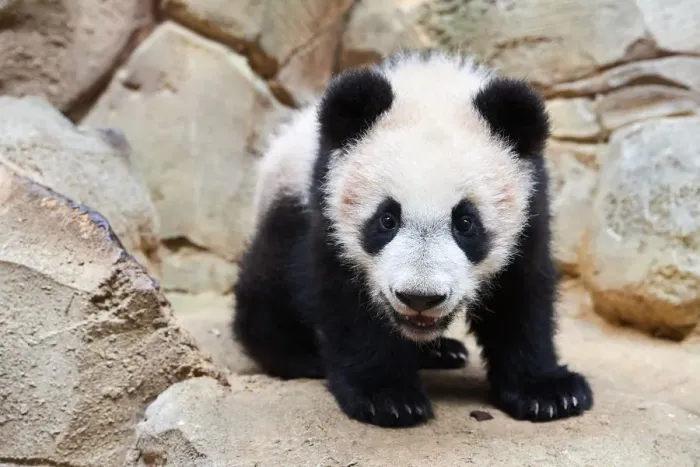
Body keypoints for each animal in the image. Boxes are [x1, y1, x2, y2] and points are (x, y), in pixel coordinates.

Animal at [232, 49, 594, 428]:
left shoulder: (531, 205)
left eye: (466, 223)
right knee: (273, 274)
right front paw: (388, 398)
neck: (431, 87)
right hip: (289, 195)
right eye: (387, 219)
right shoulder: (326, 199)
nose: (420, 298)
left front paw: (549, 393)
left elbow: (521, 293)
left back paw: (442, 352)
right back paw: (298, 355)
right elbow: (343, 294)